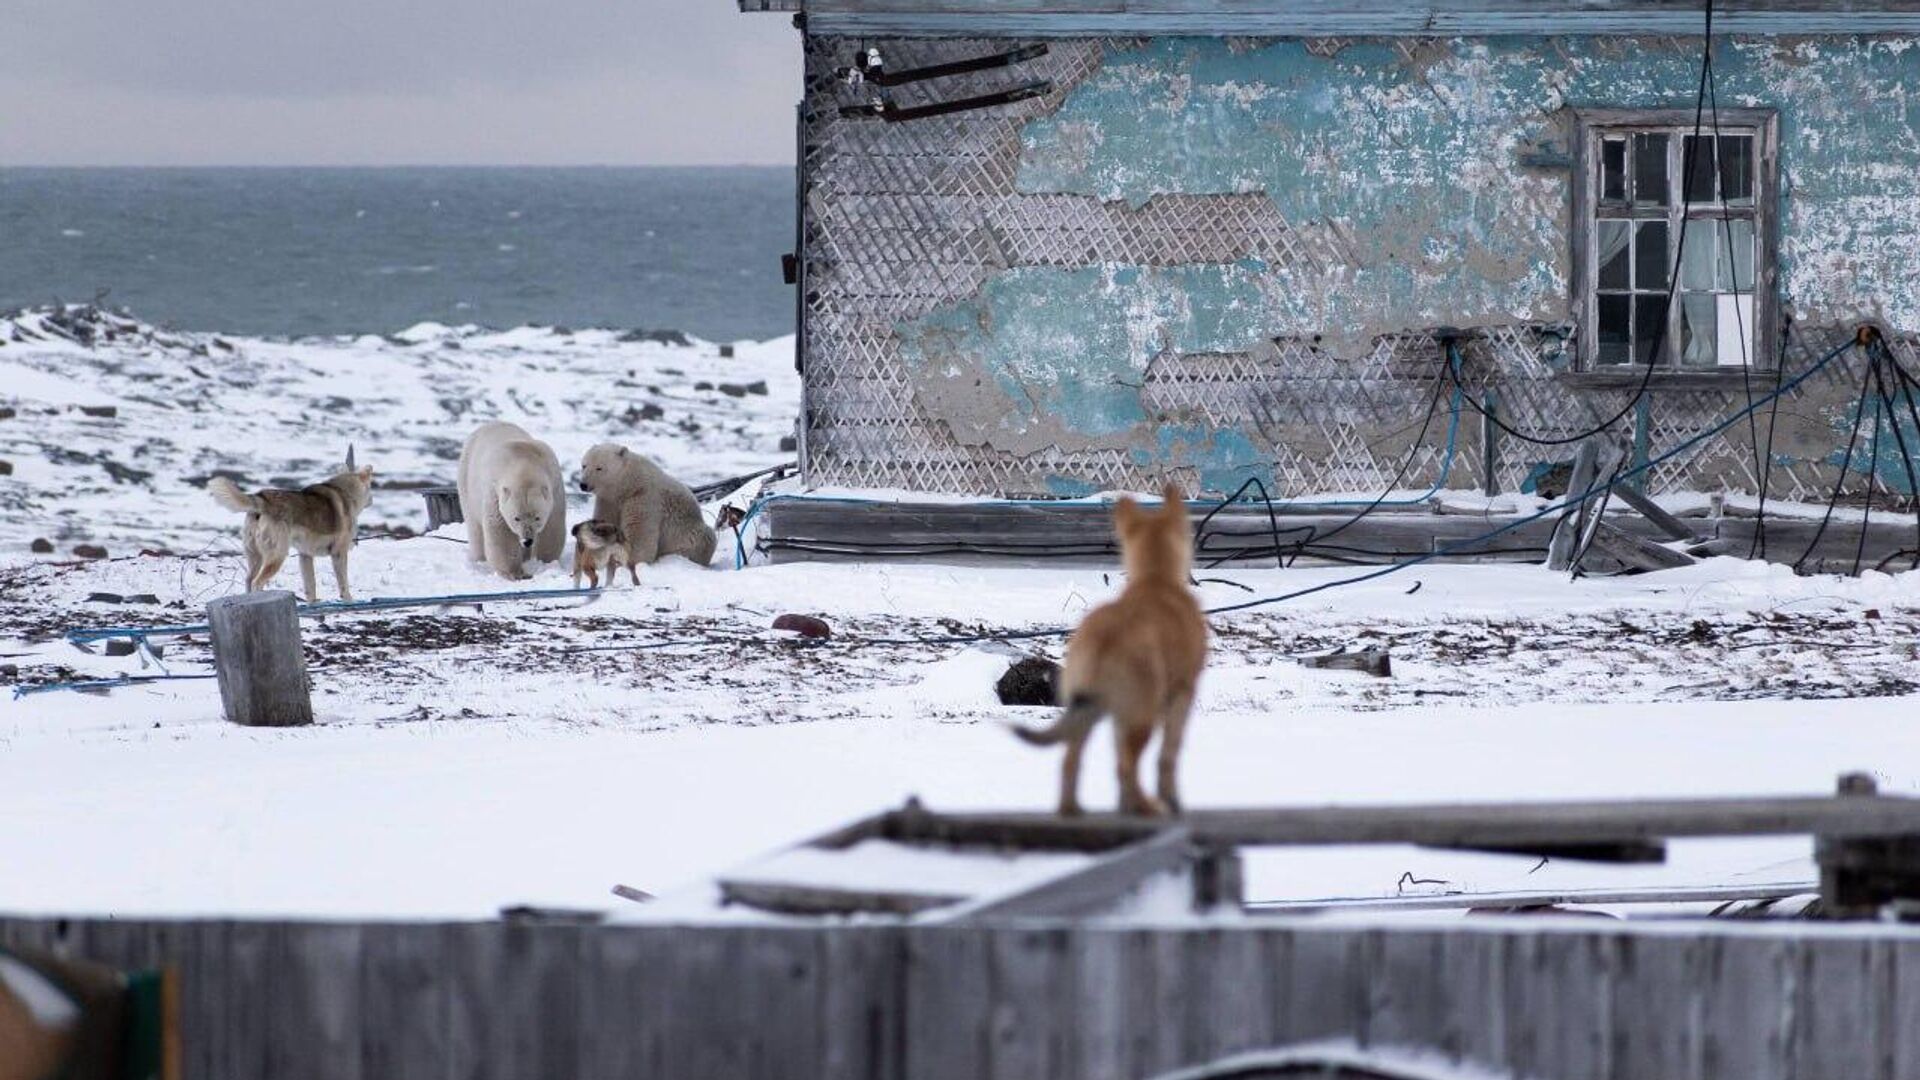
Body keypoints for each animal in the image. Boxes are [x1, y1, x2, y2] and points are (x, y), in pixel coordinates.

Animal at [458, 421, 567, 579]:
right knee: (475, 526)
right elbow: (501, 530)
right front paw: (516, 573)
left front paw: (544, 562)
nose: (527, 540)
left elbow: (553, 525)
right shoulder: (495, 492)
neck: (523, 460)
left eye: (537, 517)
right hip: (466, 483)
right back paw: (479, 559)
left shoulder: (555, 484)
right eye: (516, 518)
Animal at [578, 443, 717, 568]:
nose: (583, 484)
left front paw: (627, 561)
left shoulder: (644, 499)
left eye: (599, 468)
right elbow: (605, 522)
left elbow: (640, 535)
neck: (629, 484)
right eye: (584, 465)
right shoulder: (609, 501)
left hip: (690, 535)